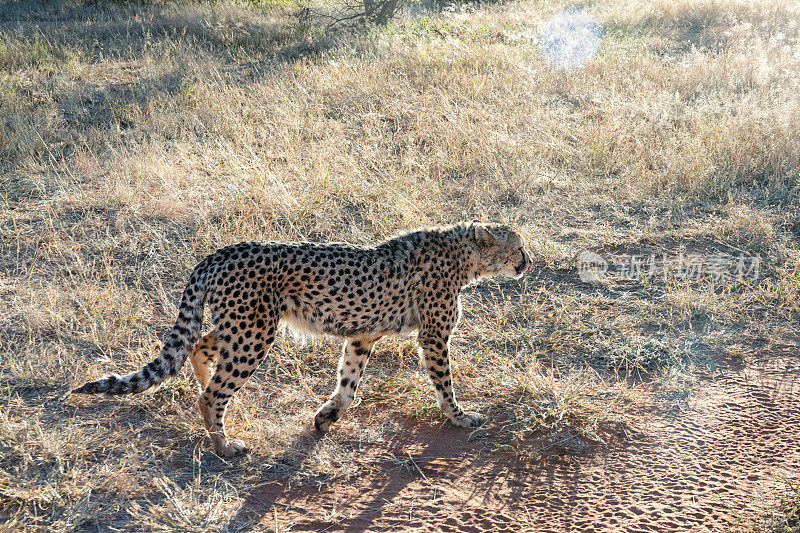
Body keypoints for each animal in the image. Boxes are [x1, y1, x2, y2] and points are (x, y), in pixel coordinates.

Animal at [73, 222, 532, 456]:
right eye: (518, 247)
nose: (528, 262)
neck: (464, 255)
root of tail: (220, 251)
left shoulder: (362, 333)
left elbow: (348, 381)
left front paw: (327, 415)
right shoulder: (434, 336)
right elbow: (445, 383)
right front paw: (460, 417)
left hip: (243, 326)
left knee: (200, 345)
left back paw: (208, 394)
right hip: (254, 333)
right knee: (211, 392)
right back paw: (224, 444)